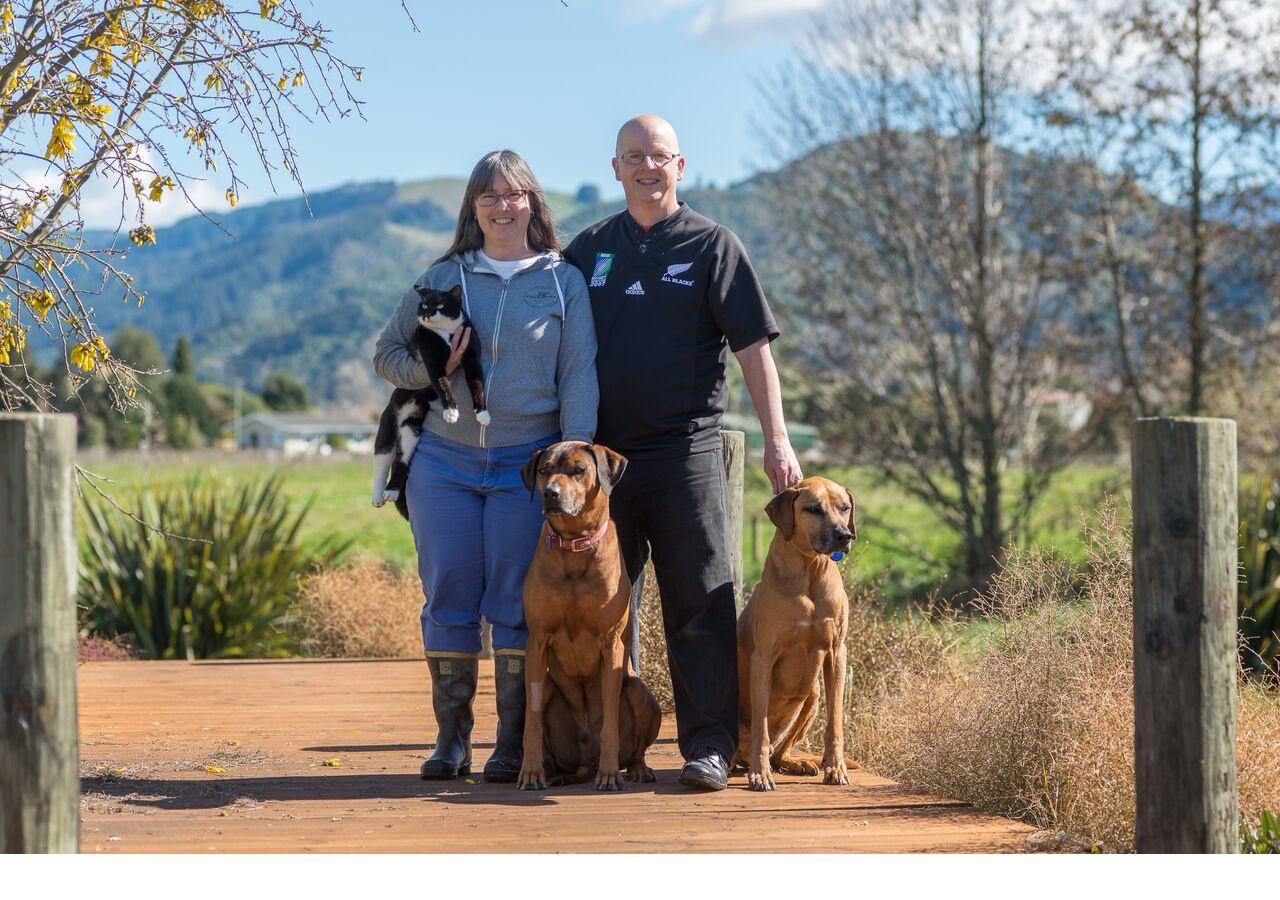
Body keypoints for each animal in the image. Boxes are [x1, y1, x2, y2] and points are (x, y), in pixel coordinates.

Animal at [373, 285, 488, 517]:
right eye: (424, 305)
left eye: (441, 304)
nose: (427, 314)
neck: (446, 332)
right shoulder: (433, 360)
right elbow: (443, 385)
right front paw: (451, 412)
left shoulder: (472, 357)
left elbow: (477, 385)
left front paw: (483, 413)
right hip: (387, 427)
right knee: (382, 461)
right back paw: (379, 496)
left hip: (412, 431)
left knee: (403, 460)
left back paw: (393, 491)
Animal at [517, 440, 660, 793]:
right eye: (544, 470)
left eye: (578, 470)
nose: (550, 494)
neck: (574, 547)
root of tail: (586, 758)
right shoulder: (537, 640)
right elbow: (532, 721)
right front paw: (530, 772)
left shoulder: (611, 642)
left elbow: (609, 720)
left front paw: (609, 774)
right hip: (550, 689)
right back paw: (555, 773)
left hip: (640, 692)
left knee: (634, 746)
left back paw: (635, 768)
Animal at [737, 476, 855, 793]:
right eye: (813, 509)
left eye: (845, 507)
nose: (844, 536)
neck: (809, 568)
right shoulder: (763, 658)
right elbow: (761, 728)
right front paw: (760, 775)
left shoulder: (836, 653)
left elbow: (834, 722)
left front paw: (835, 768)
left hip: (812, 693)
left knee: (780, 752)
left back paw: (797, 763)